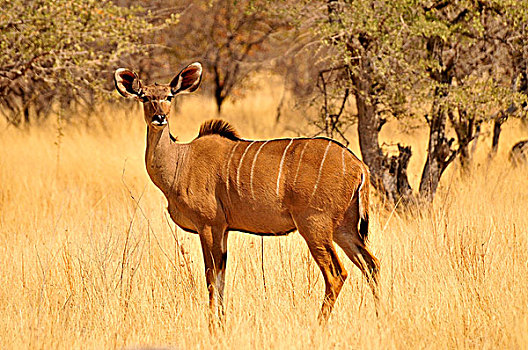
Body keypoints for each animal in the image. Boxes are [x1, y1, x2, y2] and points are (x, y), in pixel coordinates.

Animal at [114, 62, 380, 322]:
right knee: (372, 264)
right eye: (144, 97)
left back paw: (319, 324)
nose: (159, 117)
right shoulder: (222, 229)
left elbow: (211, 278)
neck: (181, 161)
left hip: (315, 225)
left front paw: (213, 325)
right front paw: (221, 322)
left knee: (337, 273)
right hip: (343, 228)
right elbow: (221, 277)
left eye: (169, 96)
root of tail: (359, 166)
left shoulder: (207, 225)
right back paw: (381, 315)